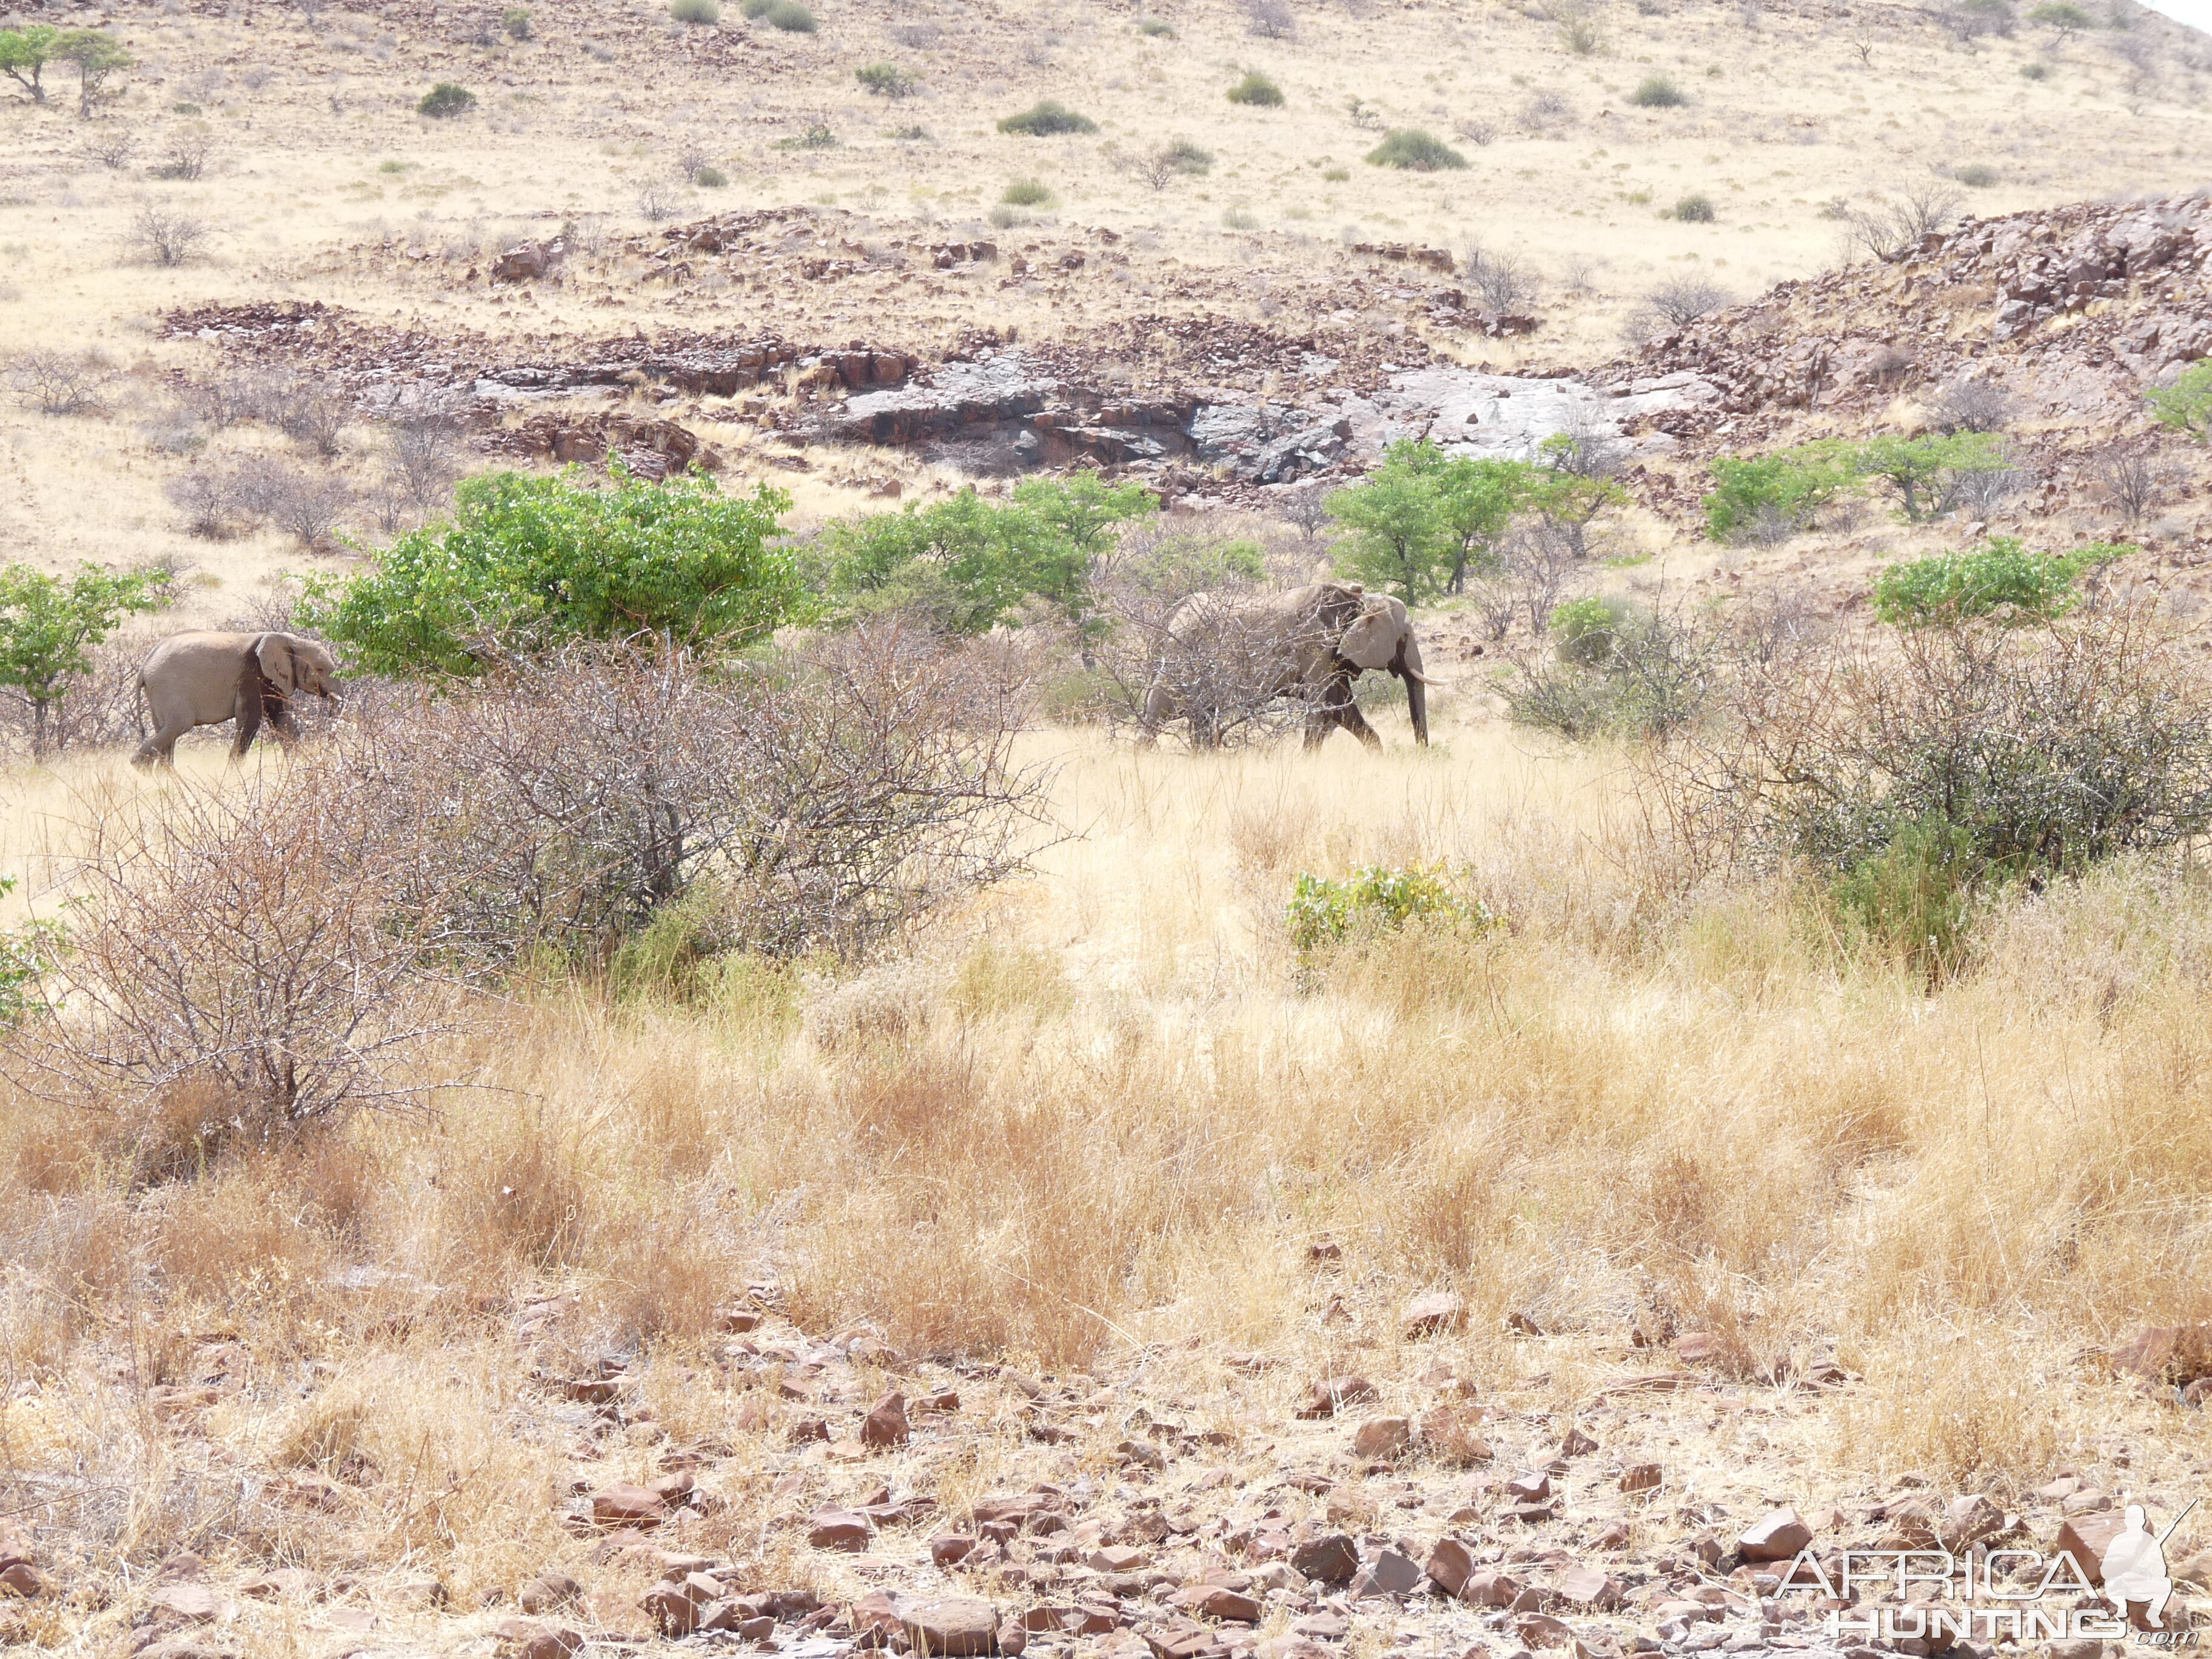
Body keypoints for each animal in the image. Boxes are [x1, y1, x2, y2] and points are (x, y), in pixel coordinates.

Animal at [132, 632, 340, 769]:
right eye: (320, 669)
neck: (289, 639)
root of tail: (144, 666)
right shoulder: (251, 674)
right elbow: (250, 720)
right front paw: (233, 773)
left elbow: (282, 720)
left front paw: (298, 766)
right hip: (168, 688)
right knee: (180, 725)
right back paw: (140, 769)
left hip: (157, 693)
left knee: (166, 730)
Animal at [1141, 579, 1433, 748]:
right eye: (1405, 637)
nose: (1420, 753)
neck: (1359, 601)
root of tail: (1172, 615)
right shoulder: (1314, 645)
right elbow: (1322, 707)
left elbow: (1341, 708)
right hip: (1180, 660)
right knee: (1158, 712)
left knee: (1198, 716)